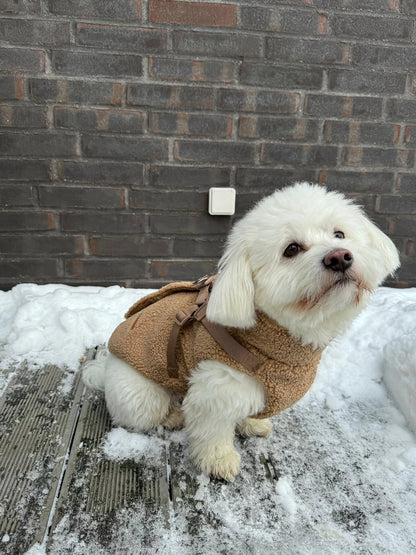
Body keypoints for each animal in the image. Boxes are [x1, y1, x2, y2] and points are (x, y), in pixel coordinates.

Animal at [83, 184, 400, 482]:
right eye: (291, 249)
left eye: (339, 234)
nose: (340, 257)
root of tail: (104, 370)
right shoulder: (216, 388)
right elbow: (213, 431)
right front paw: (219, 461)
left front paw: (252, 424)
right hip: (142, 396)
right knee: (141, 416)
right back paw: (172, 416)